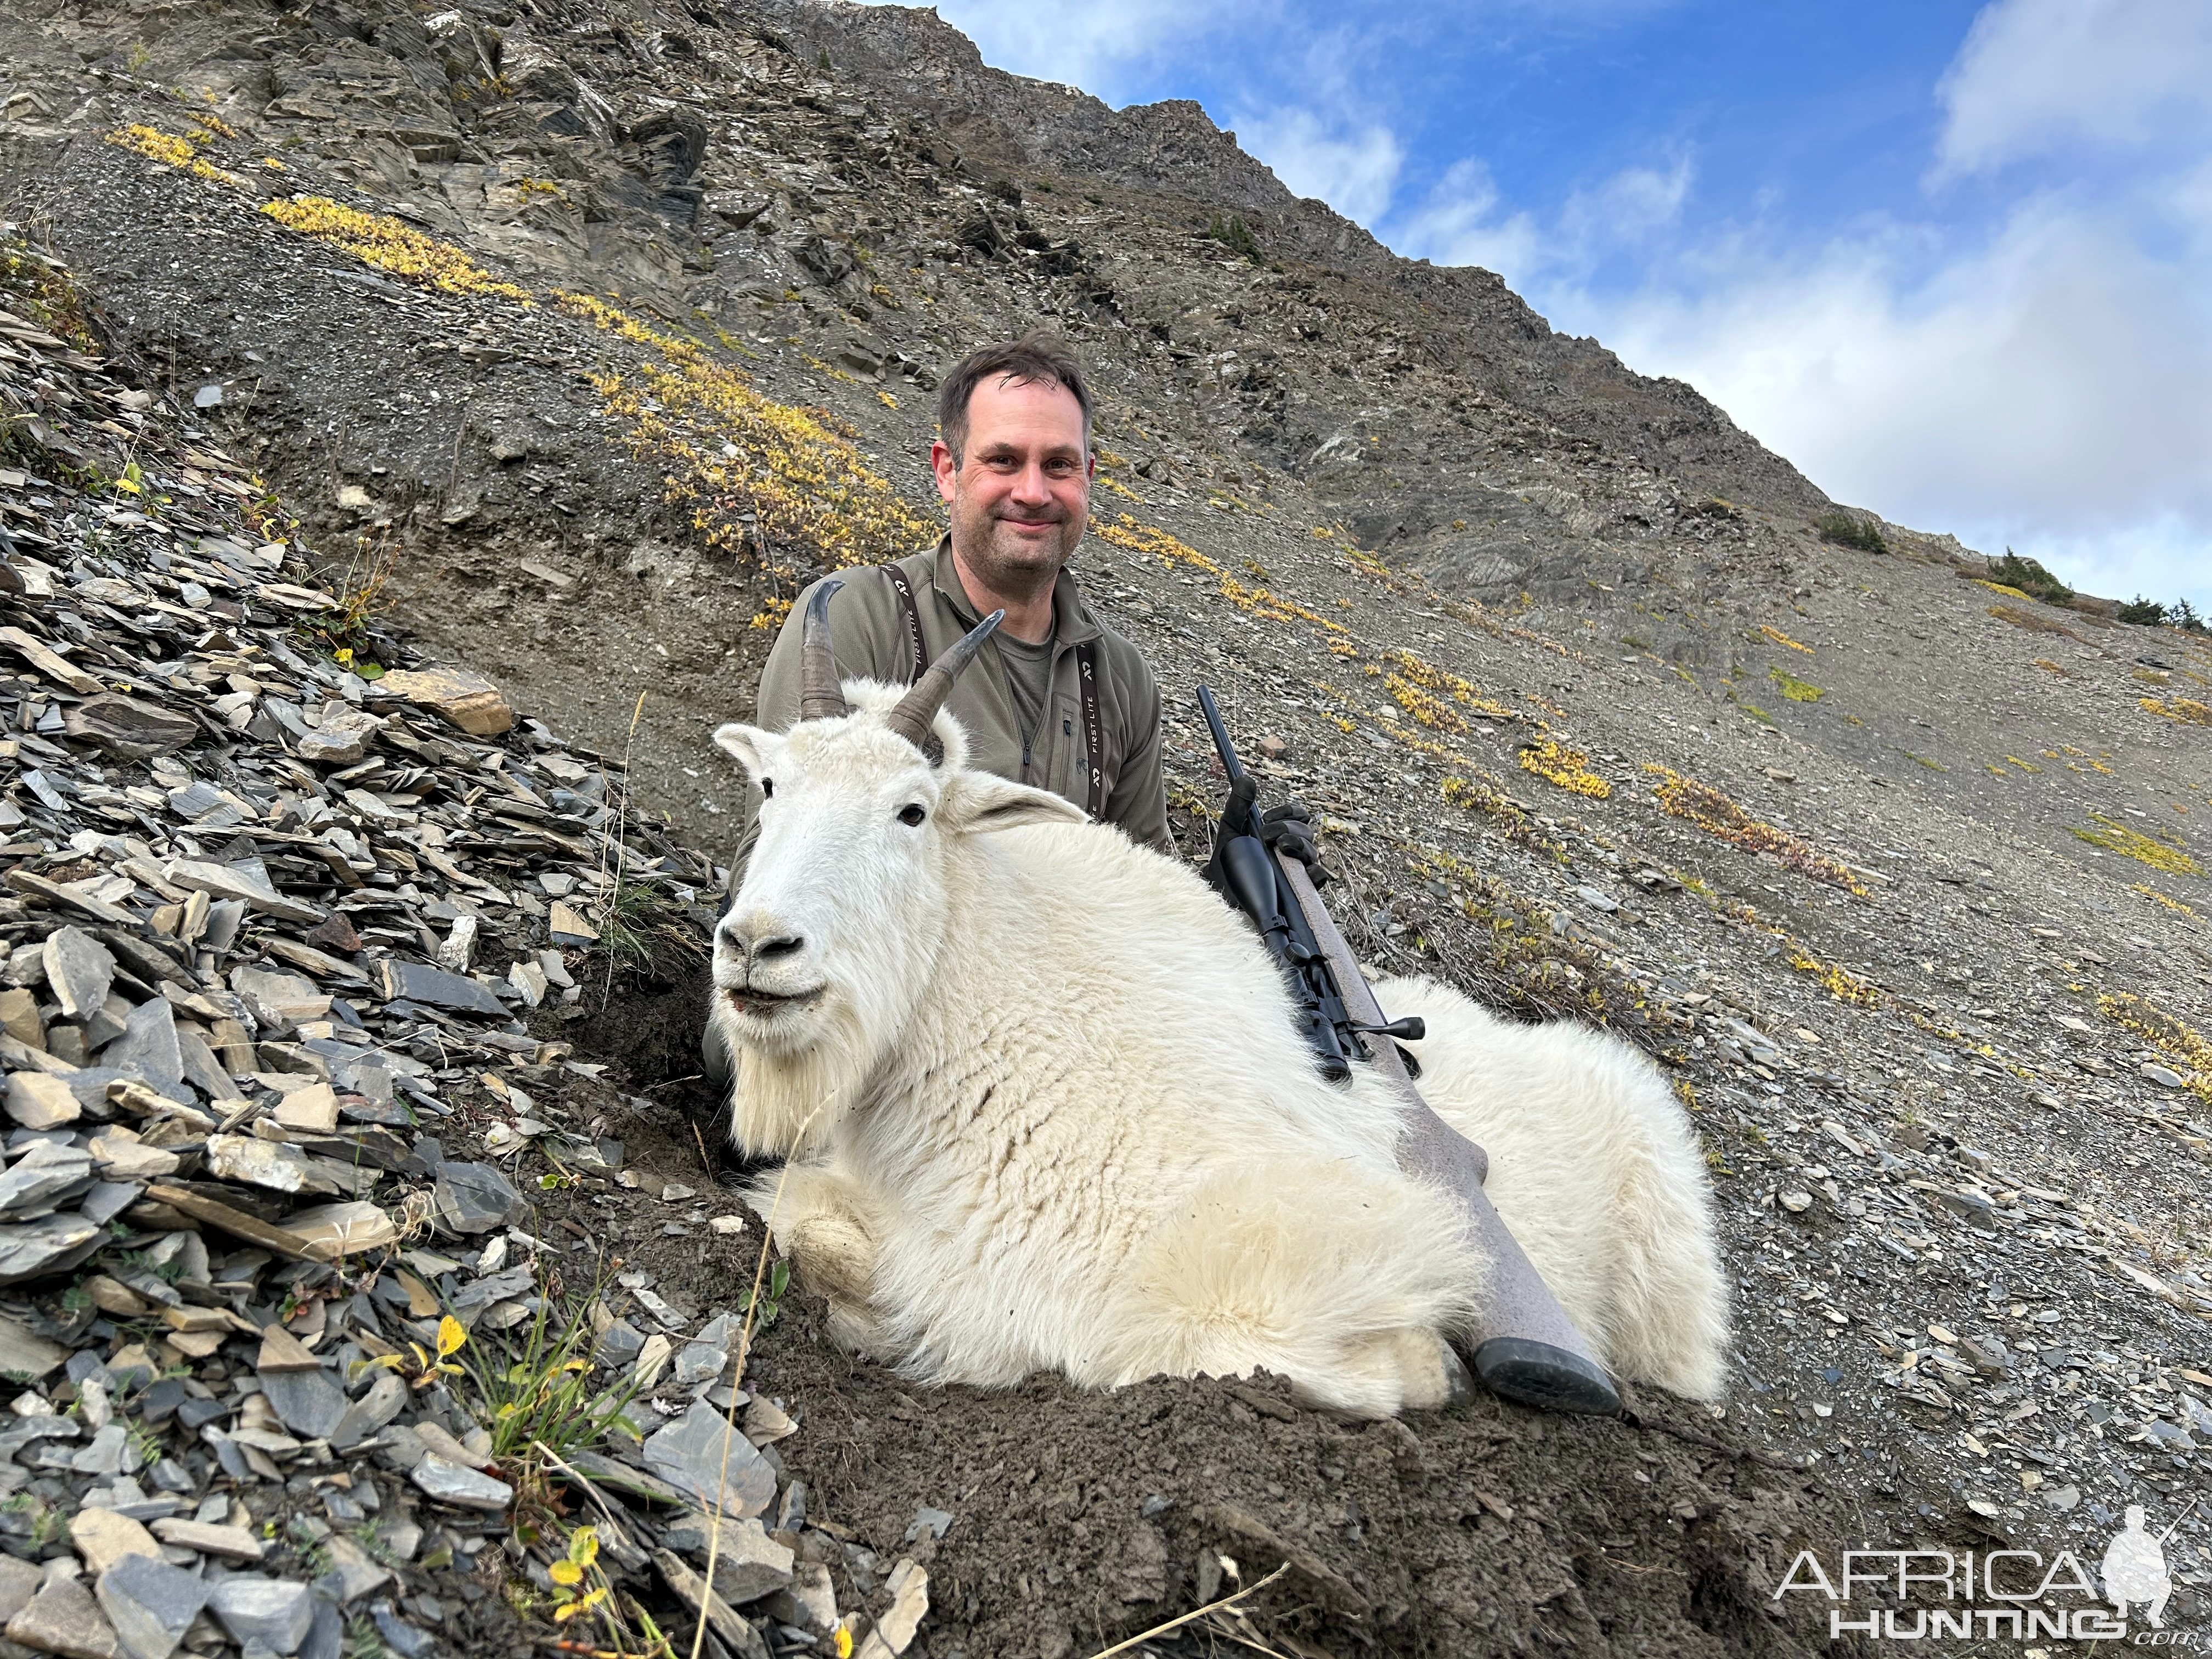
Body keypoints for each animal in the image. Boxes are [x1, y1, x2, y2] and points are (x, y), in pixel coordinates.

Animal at [708, 592, 1725, 1424]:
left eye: (911, 810)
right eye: (771, 786)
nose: (758, 946)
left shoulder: (1269, 1242)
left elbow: (1240, 1349)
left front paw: (1430, 1363)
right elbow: (813, 1229)